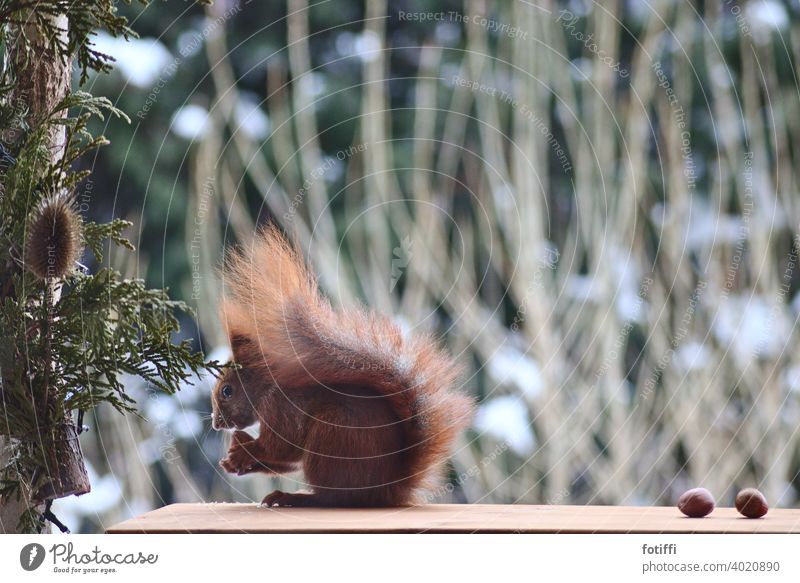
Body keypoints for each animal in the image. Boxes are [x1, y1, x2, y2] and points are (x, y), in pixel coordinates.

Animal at [212, 226, 476, 508]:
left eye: (227, 391)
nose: (216, 425)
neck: (267, 388)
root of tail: (385, 491)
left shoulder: (282, 408)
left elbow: (283, 448)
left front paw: (243, 450)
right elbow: (287, 460)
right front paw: (235, 461)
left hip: (330, 437)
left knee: (332, 498)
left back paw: (293, 497)